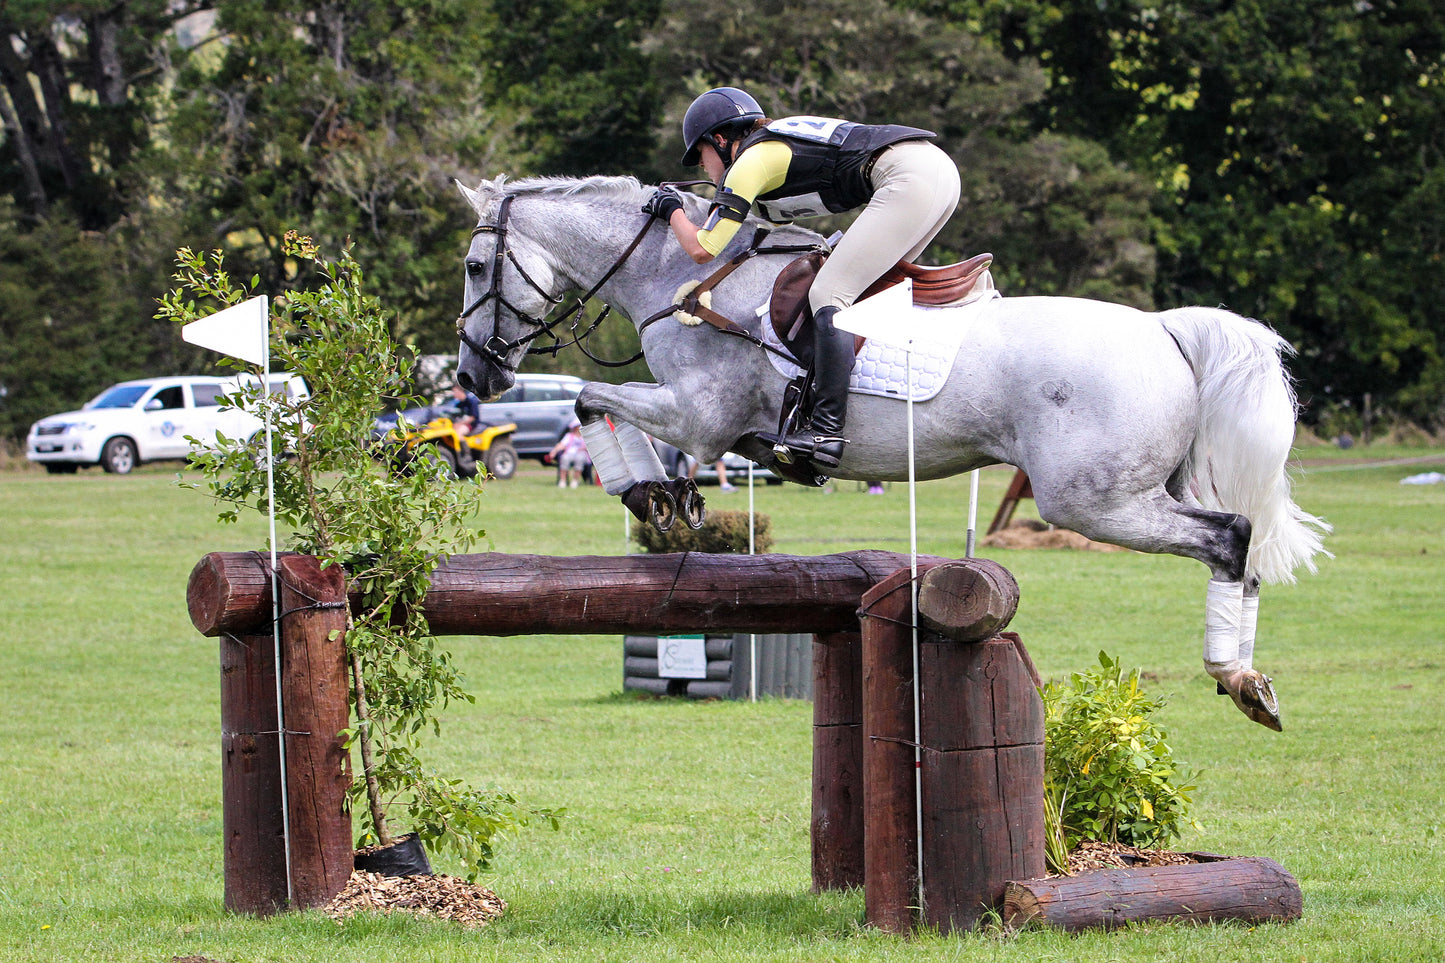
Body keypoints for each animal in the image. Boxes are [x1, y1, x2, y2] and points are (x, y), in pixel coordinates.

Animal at [456, 174, 1323, 728]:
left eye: (471, 266)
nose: (473, 374)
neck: (682, 272)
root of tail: (1161, 328)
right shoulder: (696, 421)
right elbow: (604, 408)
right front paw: (666, 497)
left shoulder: (699, 416)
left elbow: (589, 397)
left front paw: (646, 494)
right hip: (1137, 489)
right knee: (1237, 543)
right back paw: (1254, 683)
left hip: (1092, 499)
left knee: (1229, 536)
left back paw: (1233, 675)